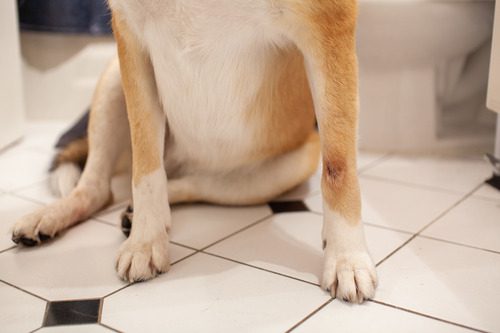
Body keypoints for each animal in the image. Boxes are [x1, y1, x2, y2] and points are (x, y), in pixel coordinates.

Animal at [10, 0, 376, 302]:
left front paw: (347, 258)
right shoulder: (130, 37)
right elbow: (145, 168)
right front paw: (145, 242)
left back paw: (139, 209)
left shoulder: (327, 27)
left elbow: (339, 168)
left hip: (293, 163)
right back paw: (52, 216)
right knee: (98, 188)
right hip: (113, 78)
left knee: (197, 183)